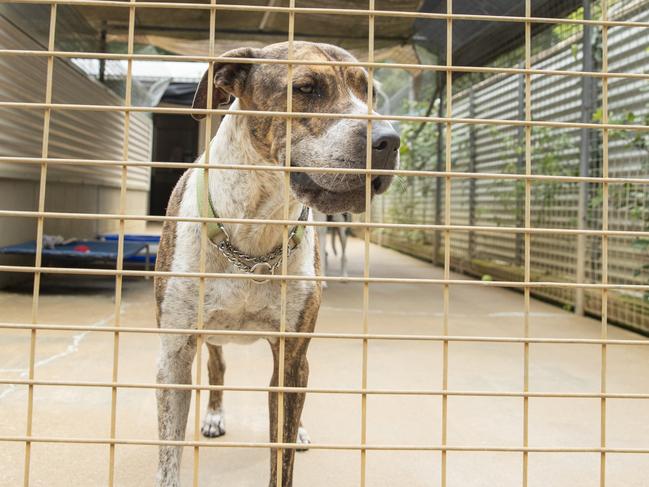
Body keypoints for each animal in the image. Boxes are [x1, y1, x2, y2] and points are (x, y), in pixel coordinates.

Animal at [154, 43, 398, 487]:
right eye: (305, 88)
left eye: (368, 91)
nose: (389, 140)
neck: (257, 230)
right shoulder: (173, 355)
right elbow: (168, 459)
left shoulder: (291, 355)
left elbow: (281, 451)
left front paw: (291, 436)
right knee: (217, 367)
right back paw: (214, 414)